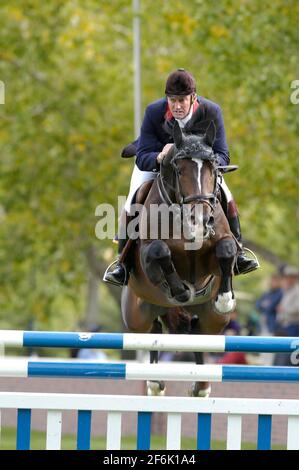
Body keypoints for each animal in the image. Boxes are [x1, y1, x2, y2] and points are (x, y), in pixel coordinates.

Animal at [120, 117, 238, 396]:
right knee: (152, 332)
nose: (200, 220)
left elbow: (227, 251)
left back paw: (201, 386)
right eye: (179, 168)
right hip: (136, 317)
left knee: (201, 336)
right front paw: (181, 291)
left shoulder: (219, 249)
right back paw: (155, 382)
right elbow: (159, 252)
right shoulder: (147, 255)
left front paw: (225, 298)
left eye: (213, 167)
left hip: (214, 321)